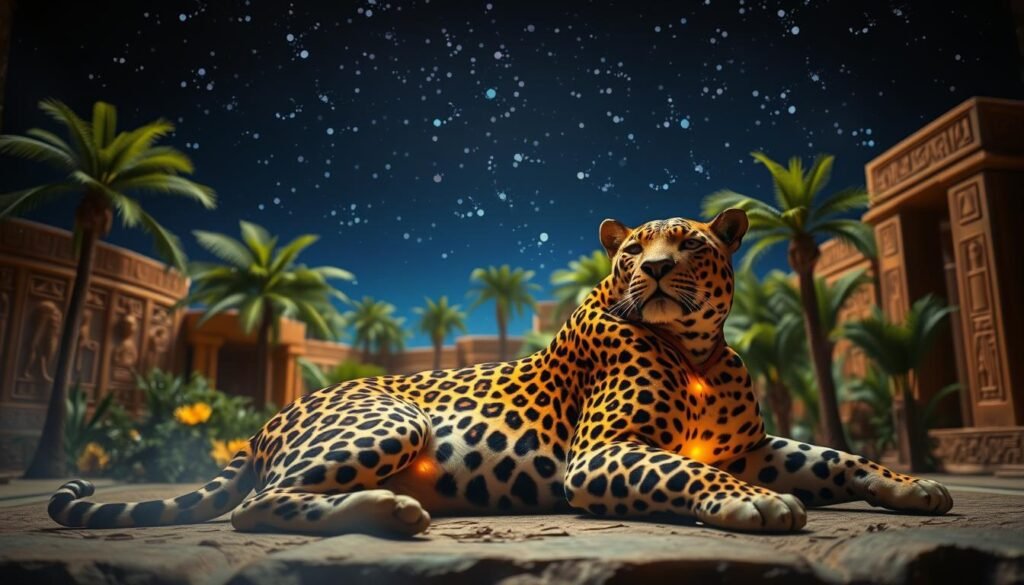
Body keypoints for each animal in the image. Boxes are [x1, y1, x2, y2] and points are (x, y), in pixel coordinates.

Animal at [49, 209, 953, 535]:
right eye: (633, 249)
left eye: (692, 243)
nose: (657, 269)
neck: (695, 350)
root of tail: (270, 419)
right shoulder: (603, 454)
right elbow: (688, 472)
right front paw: (755, 504)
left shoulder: (753, 445)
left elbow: (833, 455)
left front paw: (910, 483)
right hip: (393, 417)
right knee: (257, 507)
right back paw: (388, 510)